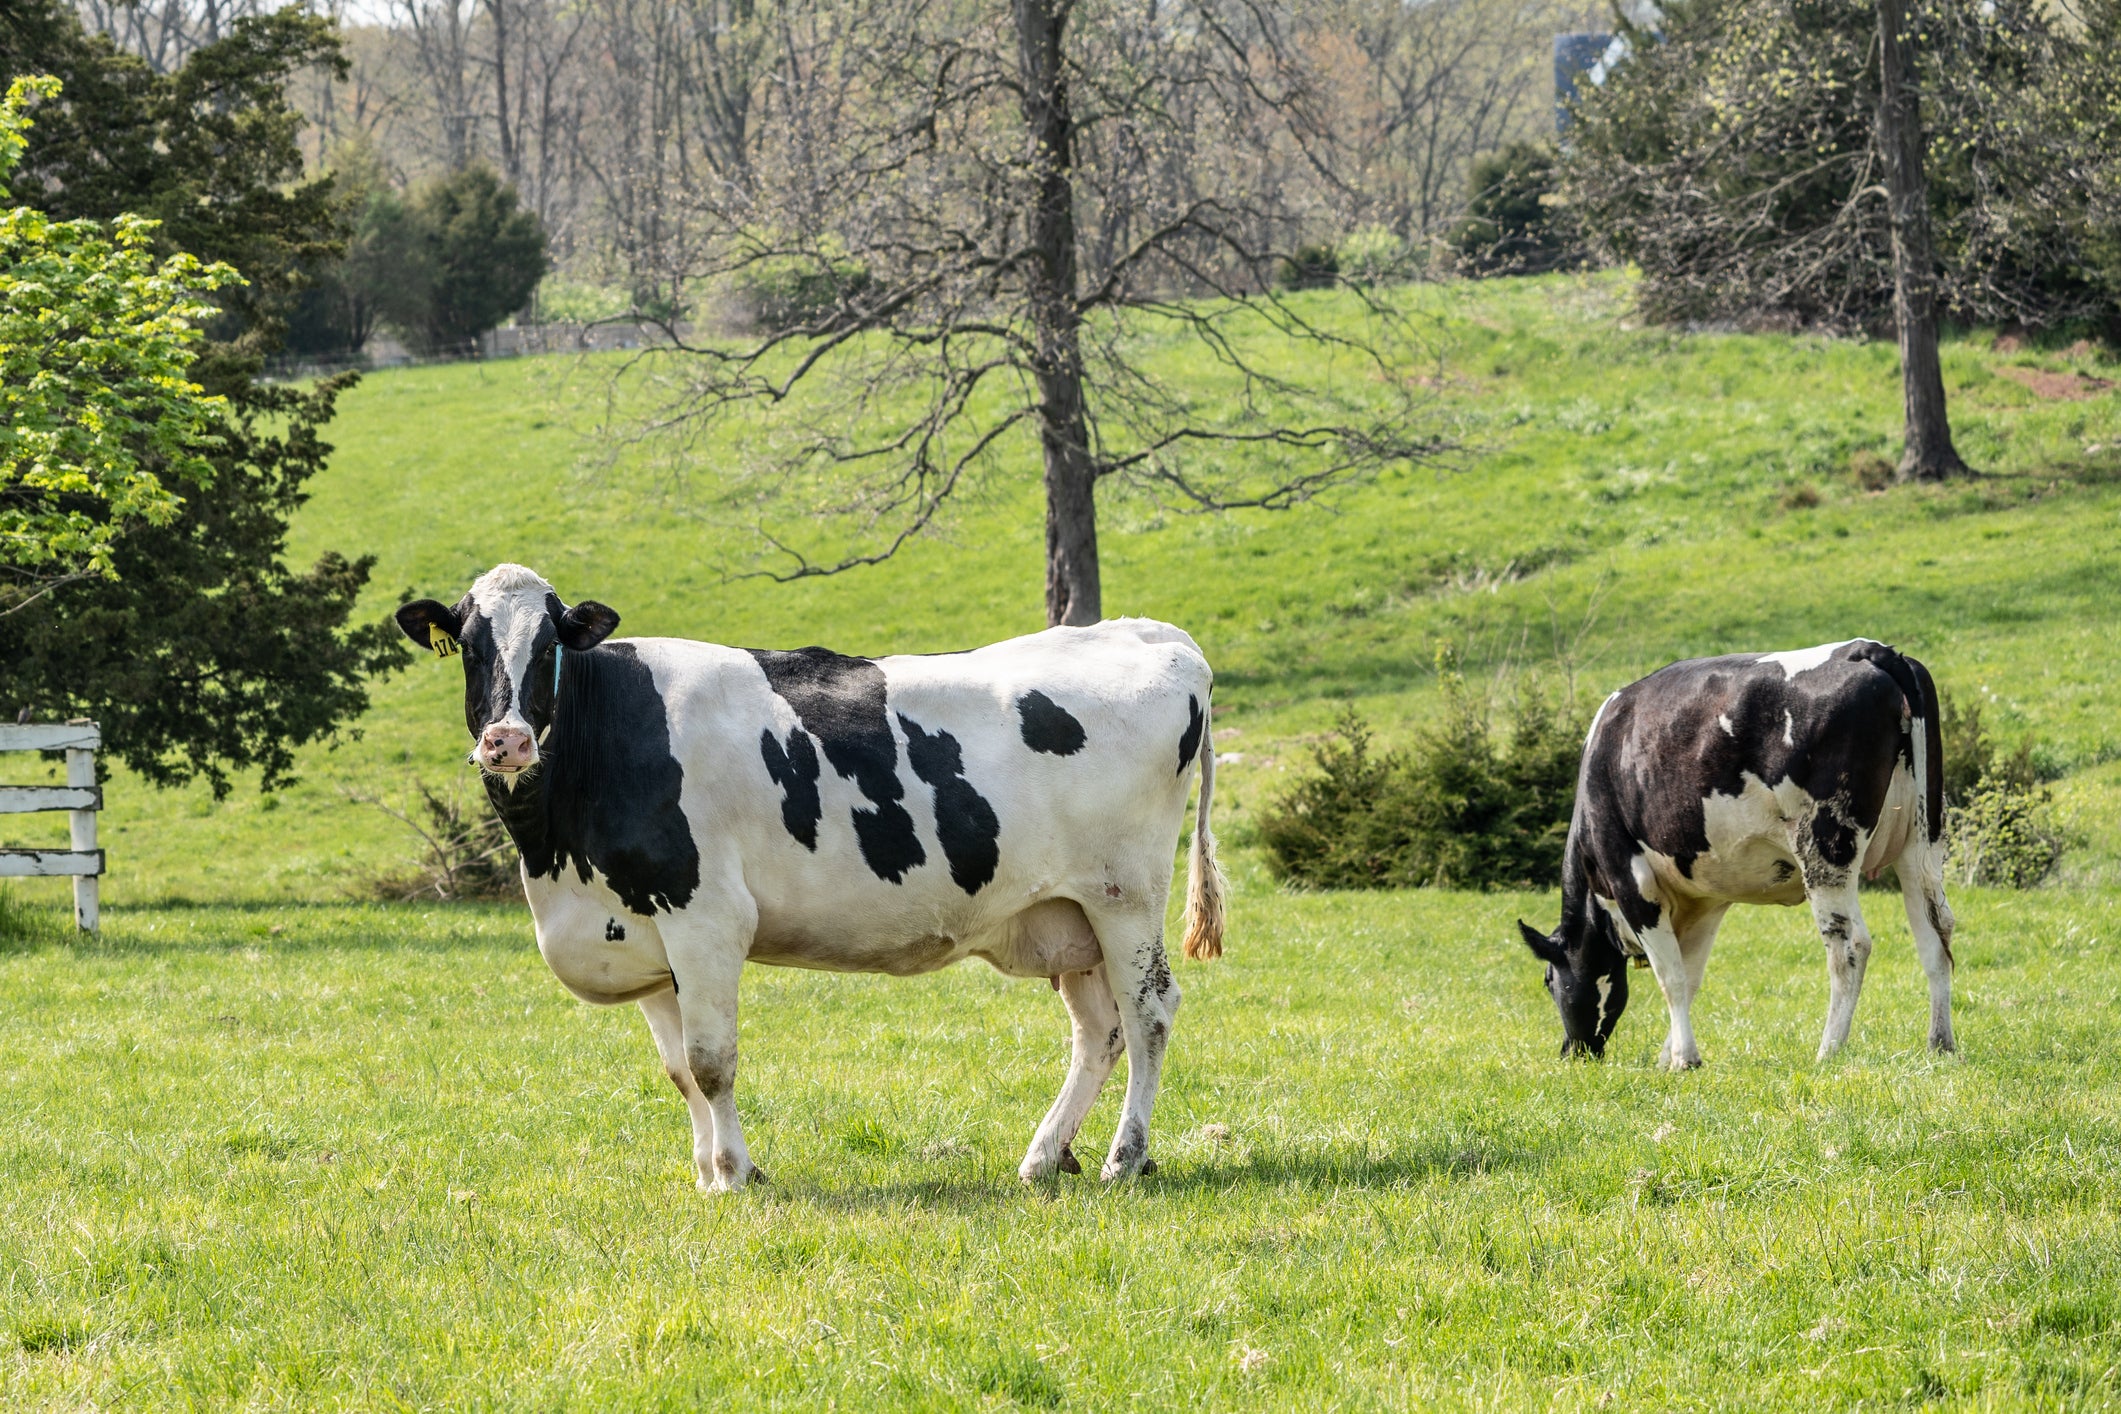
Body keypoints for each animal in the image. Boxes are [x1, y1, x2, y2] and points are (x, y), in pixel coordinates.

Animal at [398, 563, 1230, 1195]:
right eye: (468, 647)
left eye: (548, 647)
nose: (505, 741)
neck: (560, 857)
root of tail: (1150, 632)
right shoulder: (642, 932)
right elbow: (678, 1070)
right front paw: (706, 1173)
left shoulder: (704, 916)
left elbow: (711, 1061)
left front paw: (736, 1173)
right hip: (1068, 913)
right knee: (1098, 1031)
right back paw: (1043, 1157)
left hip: (1124, 894)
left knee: (1150, 1012)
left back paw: (1124, 1158)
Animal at [1518, 635, 1942, 1068]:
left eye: (1549, 980)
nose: (1572, 1052)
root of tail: (1866, 649)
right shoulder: (1705, 897)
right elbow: (1689, 975)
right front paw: (1669, 1056)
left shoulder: (1631, 879)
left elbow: (1671, 977)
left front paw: (1684, 1058)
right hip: (1921, 841)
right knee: (1934, 932)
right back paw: (1941, 1044)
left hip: (1825, 844)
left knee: (1850, 944)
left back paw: (1828, 1051)